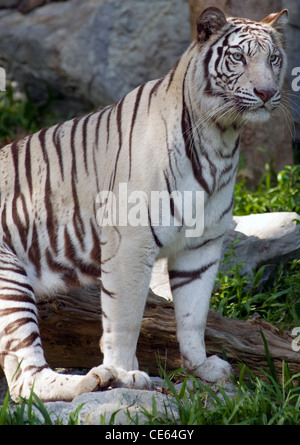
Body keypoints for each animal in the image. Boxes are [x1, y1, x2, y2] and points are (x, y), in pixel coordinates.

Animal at [0, 6, 288, 402]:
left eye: (273, 59)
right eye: (239, 57)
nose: (267, 92)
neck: (221, 140)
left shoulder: (202, 247)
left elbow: (194, 315)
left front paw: (201, 367)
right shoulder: (130, 244)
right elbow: (125, 318)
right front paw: (125, 373)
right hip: (9, 276)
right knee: (25, 379)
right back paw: (94, 379)